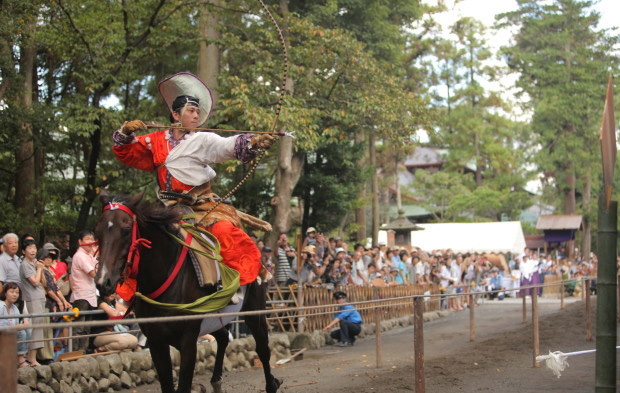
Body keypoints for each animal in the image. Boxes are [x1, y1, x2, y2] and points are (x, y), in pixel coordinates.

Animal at [93, 193, 280, 392]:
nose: (103, 281)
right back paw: (216, 381)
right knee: (223, 337)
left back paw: (271, 383)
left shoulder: (188, 341)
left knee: (262, 348)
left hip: (255, 310)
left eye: (126, 229)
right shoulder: (156, 341)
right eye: (97, 232)